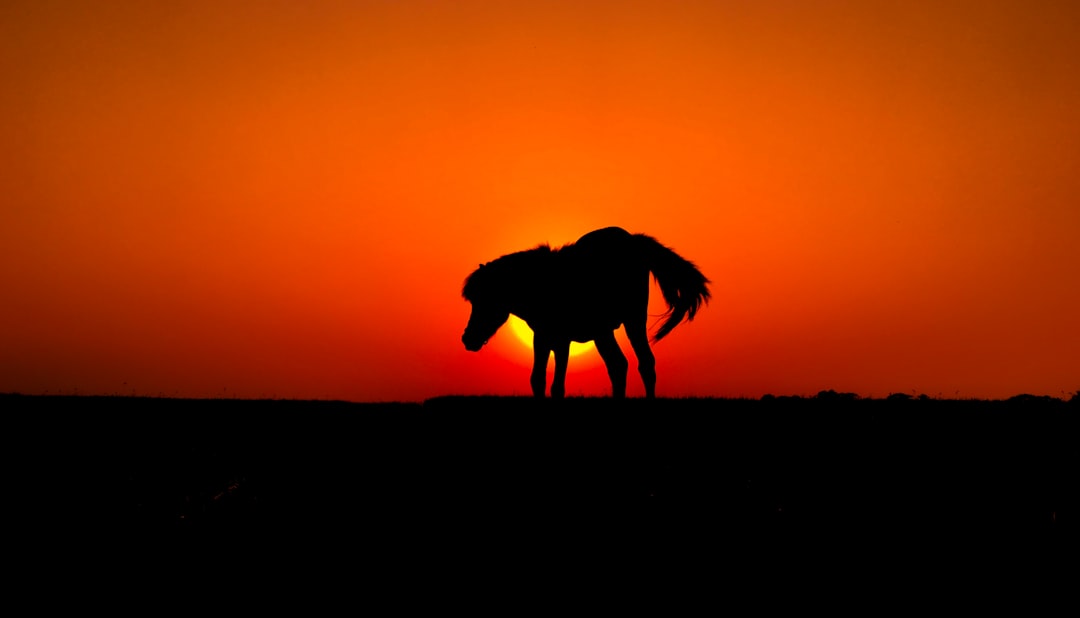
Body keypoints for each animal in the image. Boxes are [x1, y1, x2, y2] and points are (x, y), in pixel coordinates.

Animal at [462, 227, 708, 399]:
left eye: (484, 299)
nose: (468, 339)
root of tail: (633, 241)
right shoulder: (542, 339)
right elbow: (537, 380)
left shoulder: (561, 341)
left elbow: (557, 385)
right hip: (603, 333)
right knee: (619, 365)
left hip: (633, 321)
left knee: (644, 363)